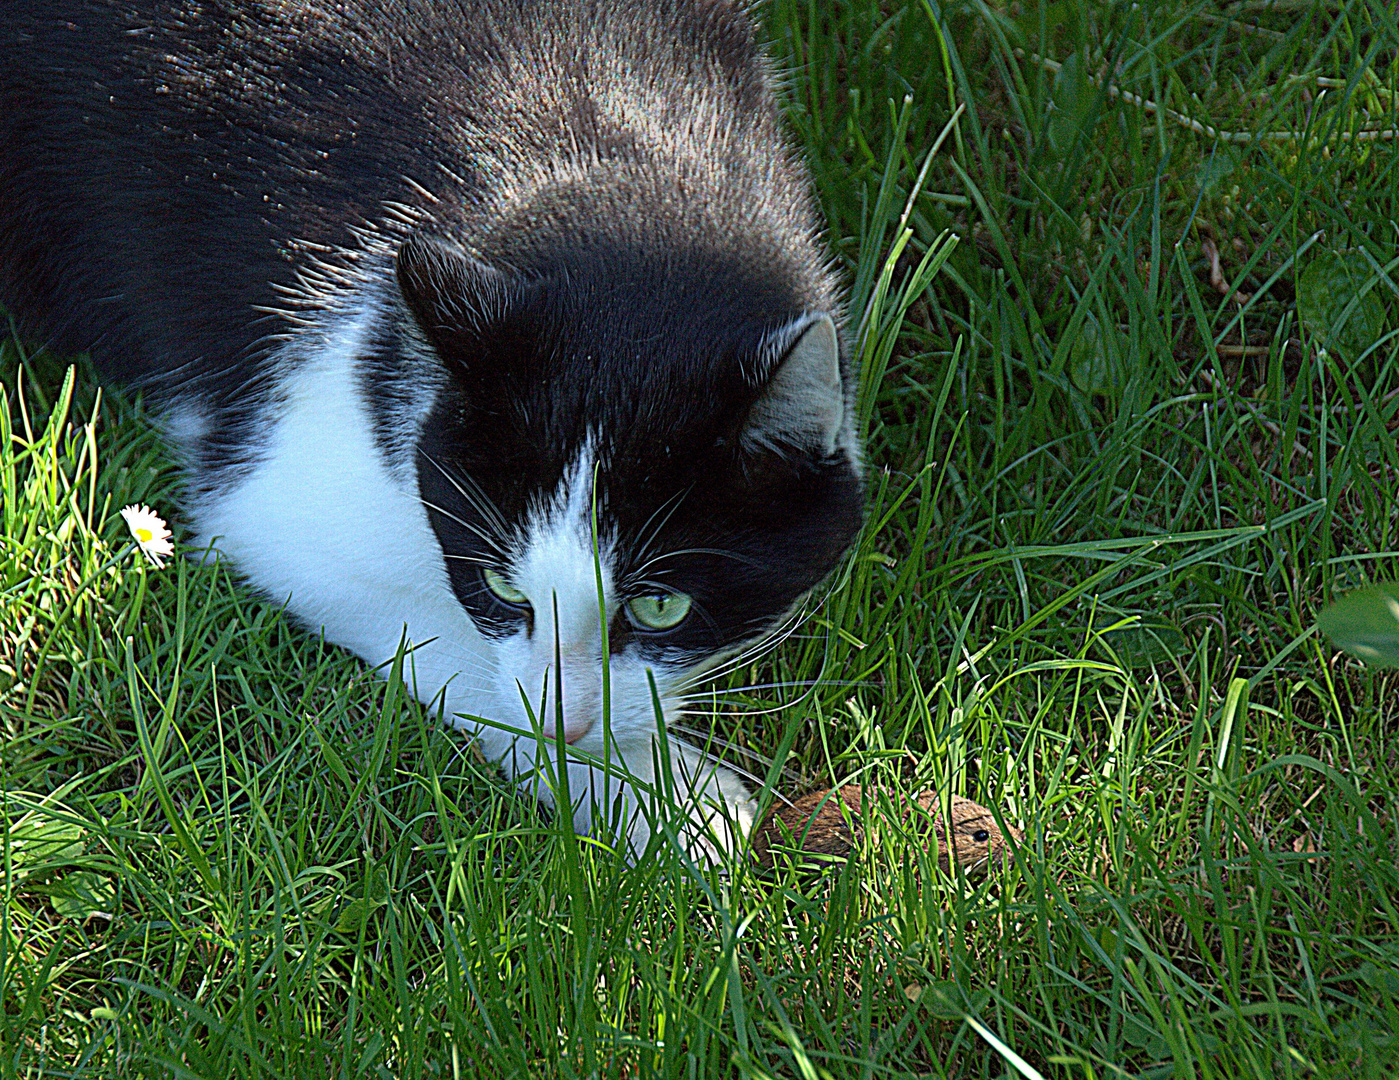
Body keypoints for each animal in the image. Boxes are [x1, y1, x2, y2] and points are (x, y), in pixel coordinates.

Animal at [0, 2, 861, 861]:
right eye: (503, 588)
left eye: (660, 608)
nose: (569, 727)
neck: (608, 161)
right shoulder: (276, 482)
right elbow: (447, 643)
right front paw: (667, 802)